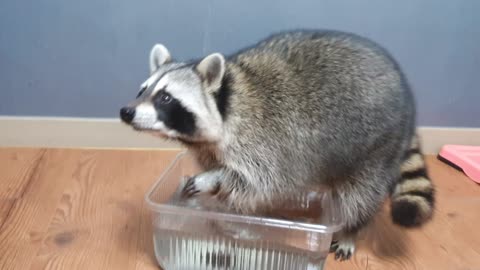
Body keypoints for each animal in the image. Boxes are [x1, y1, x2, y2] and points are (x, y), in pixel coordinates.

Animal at [120, 30, 436, 260]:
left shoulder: (268, 142)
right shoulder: (211, 148)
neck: (228, 102)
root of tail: (406, 95)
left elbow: (259, 181)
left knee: (359, 195)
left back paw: (351, 230)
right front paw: (220, 196)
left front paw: (214, 179)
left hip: (378, 146)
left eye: (165, 98)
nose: (126, 111)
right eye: (142, 90)